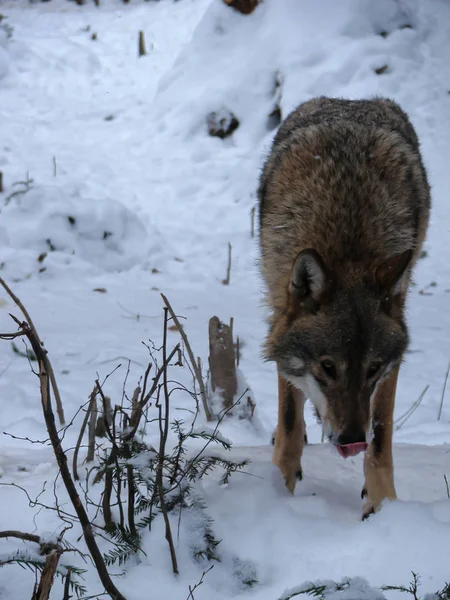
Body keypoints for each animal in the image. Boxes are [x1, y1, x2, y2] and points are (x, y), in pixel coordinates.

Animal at [256, 96, 428, 516]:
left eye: (373, 369)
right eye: (328, 367)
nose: (351, 438)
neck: (346, 245)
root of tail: (351, 101)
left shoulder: (390, 368)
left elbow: (381, 434)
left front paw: (383, 507)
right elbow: (289, 419)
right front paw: (279, 491)